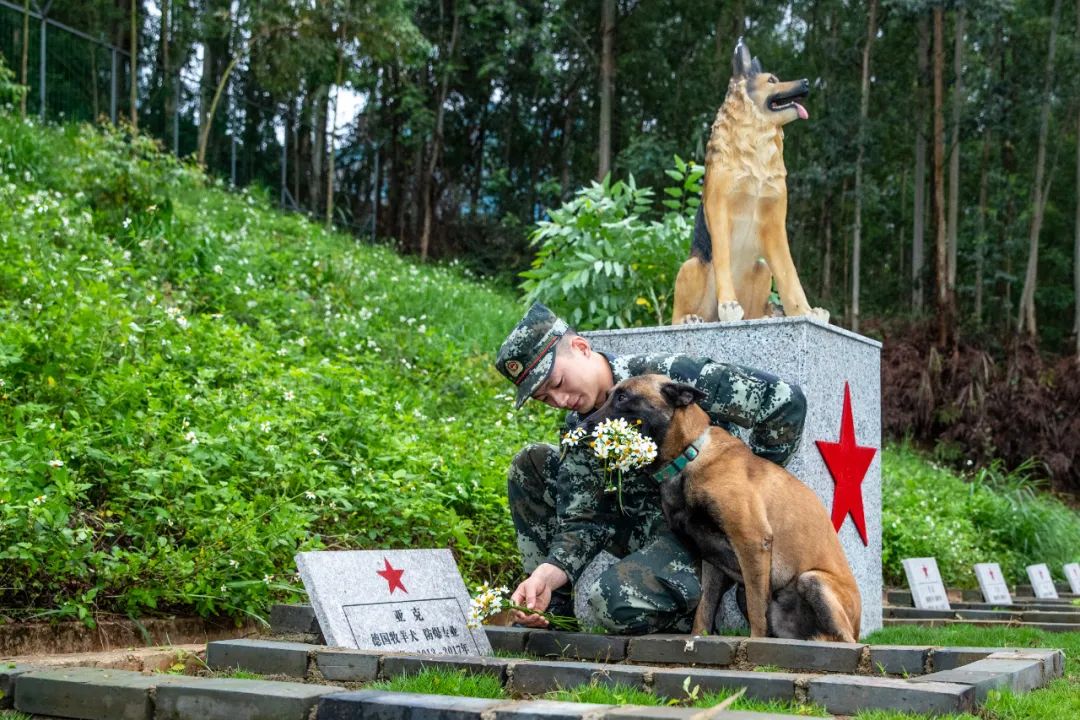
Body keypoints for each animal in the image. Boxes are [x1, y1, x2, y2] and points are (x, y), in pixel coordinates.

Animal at [583, 375, 859, 639]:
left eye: (623, 396)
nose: (582, 426)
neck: (689, 455)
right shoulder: (712, 560)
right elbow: (704, 609)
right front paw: (698, 637)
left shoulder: (752, 542)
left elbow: (757, 611)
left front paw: (754, 642)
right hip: (748, 592)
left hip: (813, 580)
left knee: (842, 640)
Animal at [669, 36, 829, 323]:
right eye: (772, 80)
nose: (806, 82)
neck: (757, 152)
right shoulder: (719, 210)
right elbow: (722, 259)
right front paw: (728, 305)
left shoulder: (775, 222)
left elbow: (789, 274)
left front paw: (807, 311)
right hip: (692, 267)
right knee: (675, 314)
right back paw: (691, 318)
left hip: (762, 270)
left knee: (756, 306)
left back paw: (764, 317)